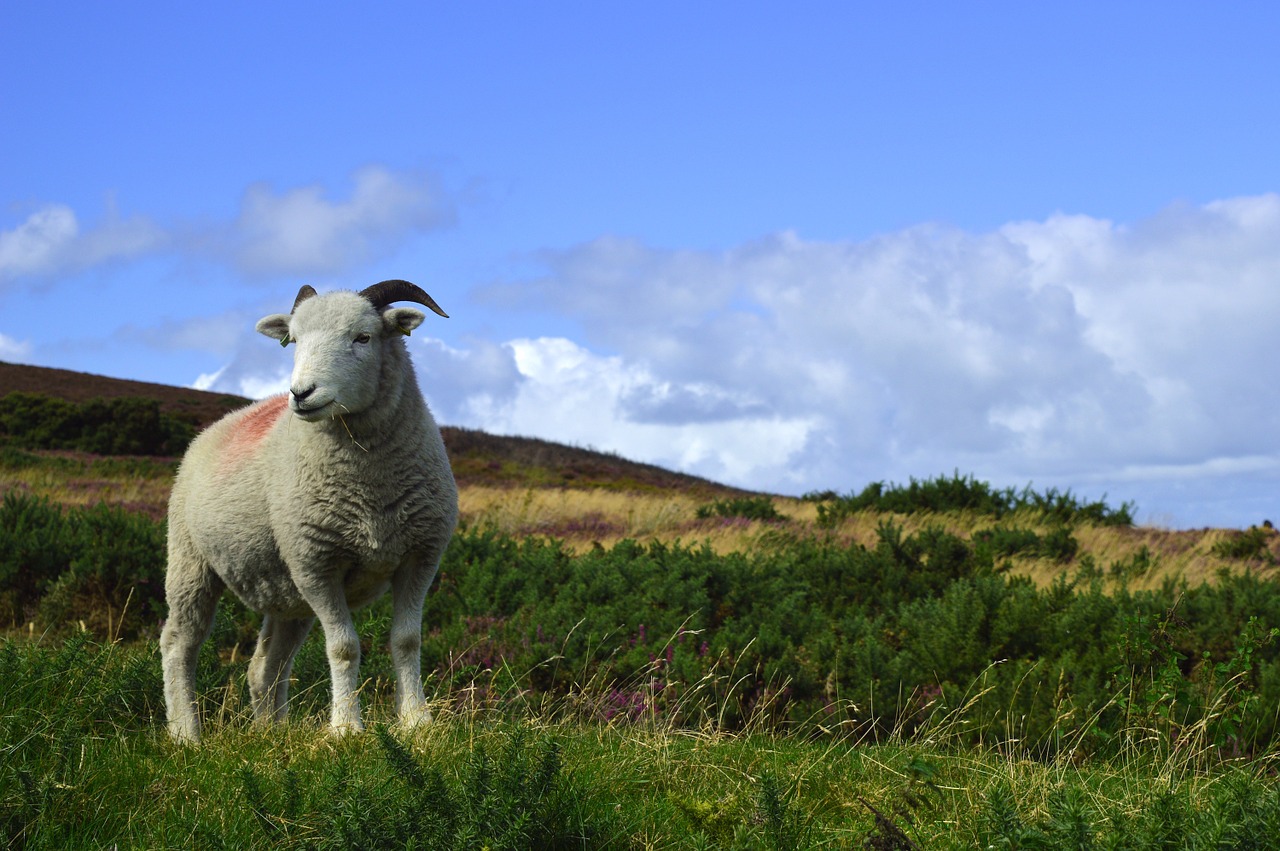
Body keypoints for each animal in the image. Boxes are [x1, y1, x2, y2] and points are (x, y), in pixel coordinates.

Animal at [160, 281, 460, 742]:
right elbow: (343, 647)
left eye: (363, 337)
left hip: (286, 594)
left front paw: (415, 722)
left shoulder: (420, 556)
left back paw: (272, 735)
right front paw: (346, 728)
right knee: (178, 644)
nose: (301, 394)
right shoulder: (316, 564)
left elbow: (406, 640)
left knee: (264, 666)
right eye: (295, 341)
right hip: (191, 562)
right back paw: (186, 736)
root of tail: (220, 424)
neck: (370, 487)